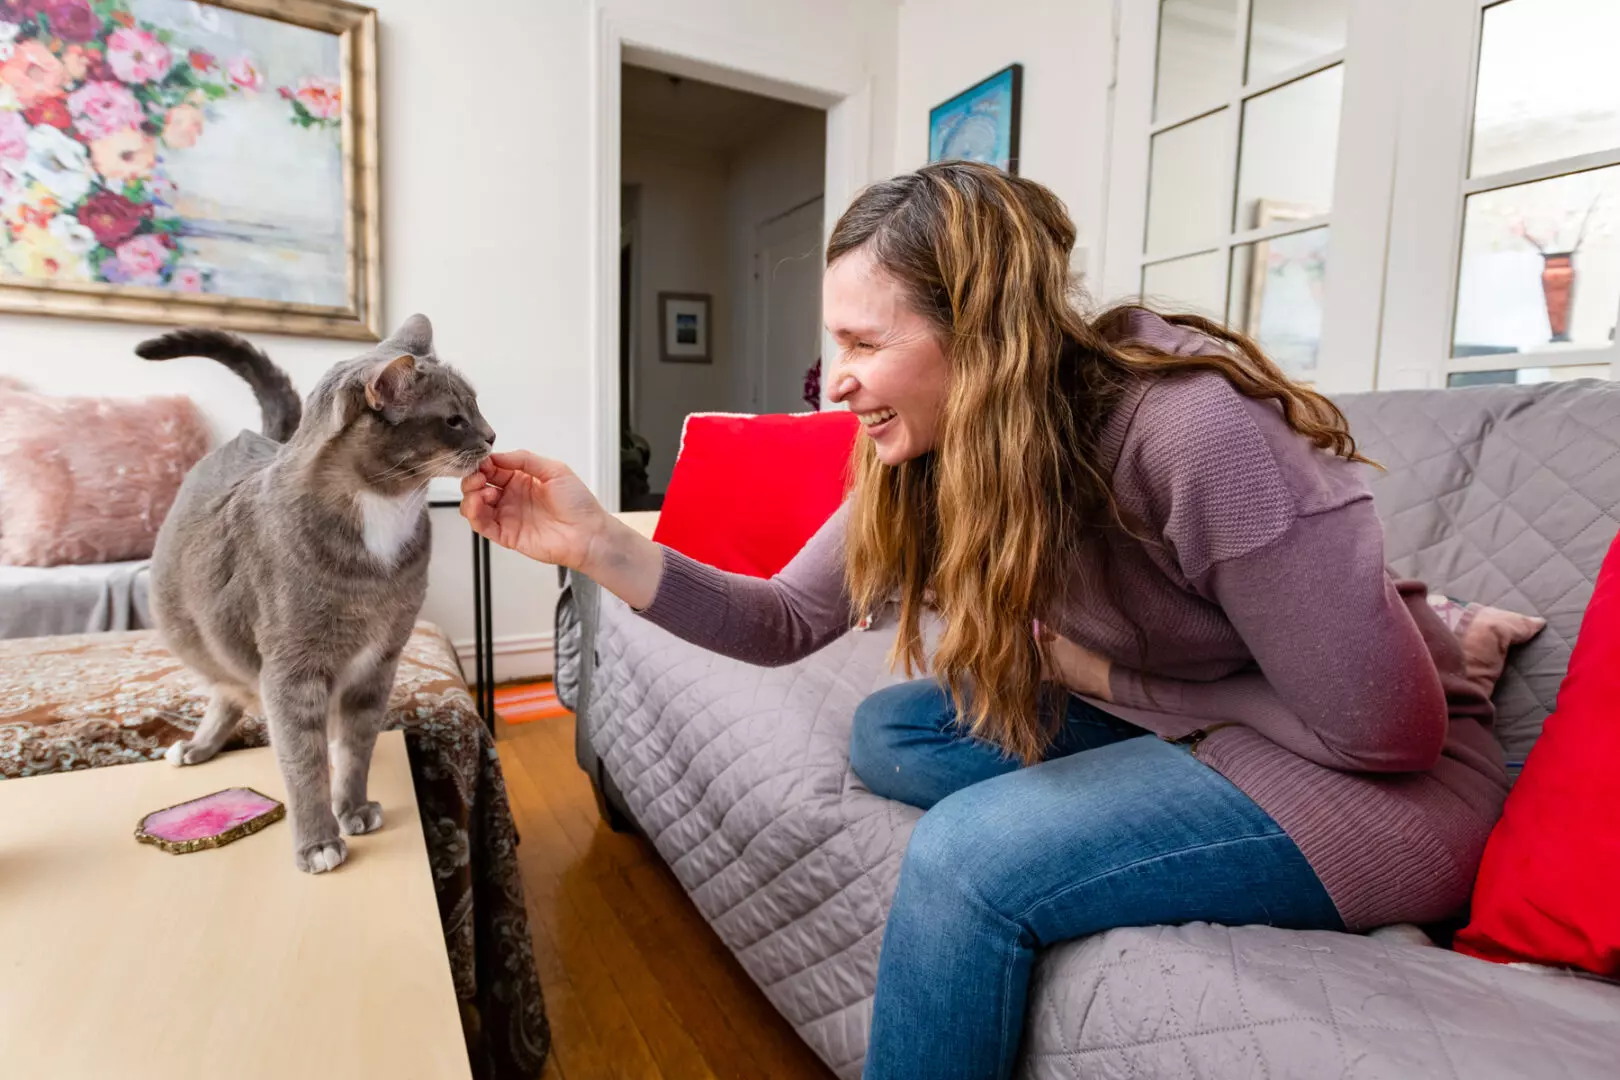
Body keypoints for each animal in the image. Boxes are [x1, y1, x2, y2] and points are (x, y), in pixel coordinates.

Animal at [139, 317, 492, 874]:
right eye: (455, 420)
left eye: (476, 407)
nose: (493, 437)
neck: (381, 517)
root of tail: (252, 435)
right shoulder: (291, 670)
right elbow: (301, 761)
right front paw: (318, 841)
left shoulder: (379, 663)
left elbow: (357, 746)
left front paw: (352, 807)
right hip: (196, 633)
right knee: (228, 688)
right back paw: (197, 747)